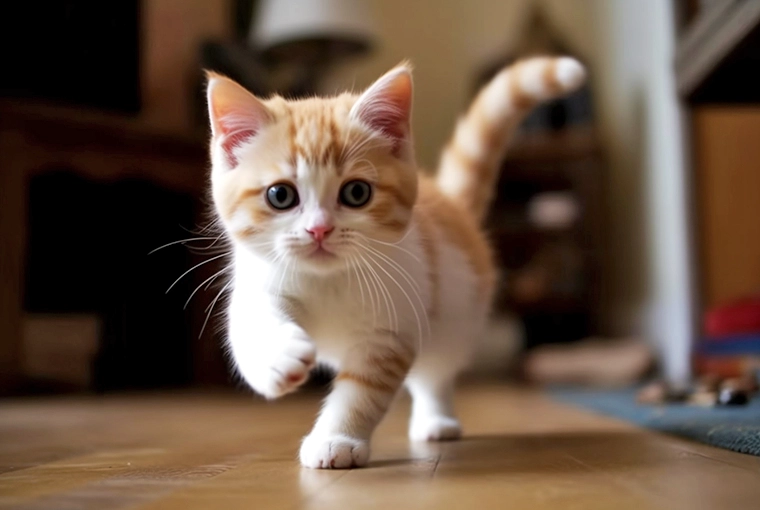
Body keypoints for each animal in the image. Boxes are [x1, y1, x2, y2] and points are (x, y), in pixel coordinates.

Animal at [205, 54, 584, 466]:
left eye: (356, 193)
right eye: (280, 195)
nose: (319, 229)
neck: (329, 280)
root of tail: (452, 205)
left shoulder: (393, 324)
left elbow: (364, 387)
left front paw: (337, 439)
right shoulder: (258, 281)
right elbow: (250, 323)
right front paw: (276, 358)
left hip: (453, 319)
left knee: (436, 372)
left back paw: (436, 420)